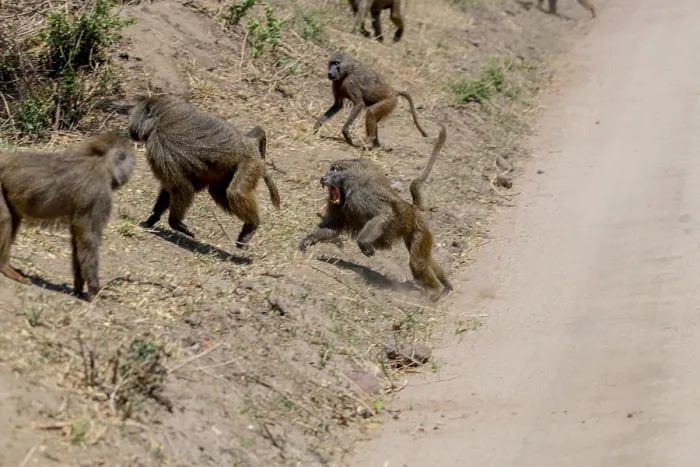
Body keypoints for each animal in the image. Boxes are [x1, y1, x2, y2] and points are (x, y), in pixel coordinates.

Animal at [0, 133, 136, 301]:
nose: (127, 175)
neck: (100, 162)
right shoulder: (98, 194)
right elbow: (88, 239)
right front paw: (94, 291)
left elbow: (78, 239)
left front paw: (79, 286)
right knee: (6, 219)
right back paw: (5, 267)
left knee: (14, 218)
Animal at [127, 95, 281, 248]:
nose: (130, 131)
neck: (160, 118)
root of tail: (250, 144)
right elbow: (171, 189)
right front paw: (151, 219)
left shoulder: (159, 146)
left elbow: (182, 188)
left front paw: (176, 224)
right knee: (218, 192)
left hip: (250, 163)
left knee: (235, 193)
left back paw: (252, 226)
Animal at [299, 124, 452, 302]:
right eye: (330, 169)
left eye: (335, 170)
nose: (323, 178)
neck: (349, 185)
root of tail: (414, 209)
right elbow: (333, 227)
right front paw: (308, 240)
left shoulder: (359, 197)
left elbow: (383, 214)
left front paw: (365, 245)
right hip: (417, 231)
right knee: (425, 259)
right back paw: (446, 286)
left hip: (420, 229)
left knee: (417, 262)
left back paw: (436, 292)